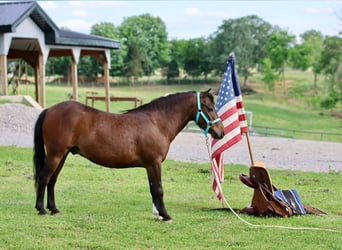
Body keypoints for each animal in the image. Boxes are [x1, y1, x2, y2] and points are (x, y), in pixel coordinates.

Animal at [32, 89, 224, 222]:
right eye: (209, 108)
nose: (220, 132)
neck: (157, 122)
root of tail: (50, 109)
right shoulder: (154, 163)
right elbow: (159, 189)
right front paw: (165, 215)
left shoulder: (149, 165)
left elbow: (153, 190)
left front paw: (158, 214)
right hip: (56, 155)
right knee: (44, 178)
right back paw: (41, 209)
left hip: (62, 155)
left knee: (52, 180)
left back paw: (54, 209)